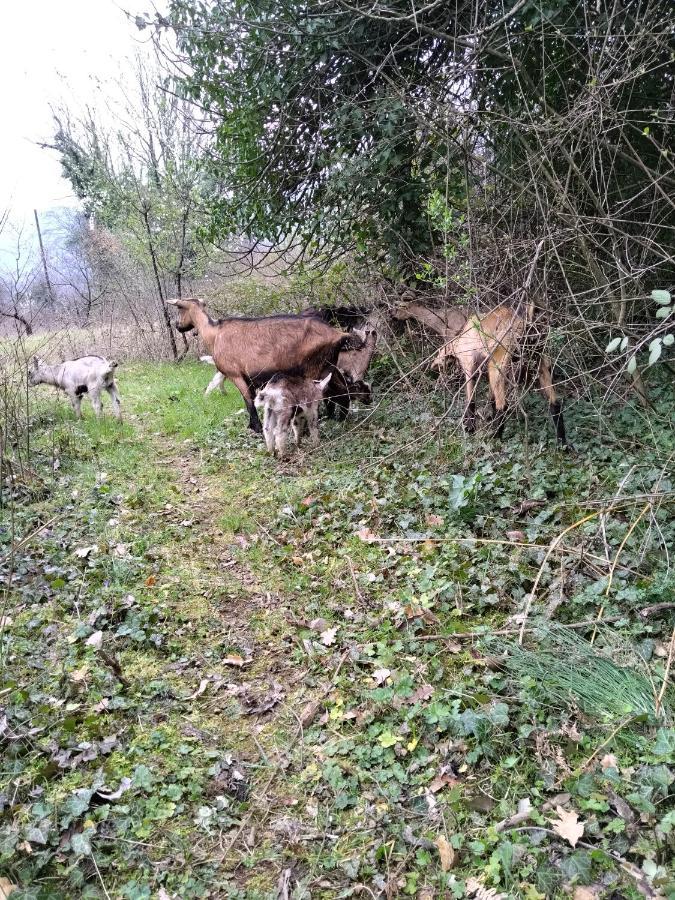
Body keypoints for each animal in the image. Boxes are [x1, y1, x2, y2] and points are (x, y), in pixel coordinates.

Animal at [168, 298, 360, 432]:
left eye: (179, 309)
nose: (178, 326)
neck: (214, 333)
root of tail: (338, 334)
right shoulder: (250, 378)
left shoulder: (236, 375)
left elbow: (248, 402)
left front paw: (256, 428)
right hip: (327, 367)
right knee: (342, 392)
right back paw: (337, 419)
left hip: (314, 370)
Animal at [430, 304, 568, 444]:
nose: (437, 376)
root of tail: (525, 321)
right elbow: (491, 399)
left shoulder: (471, 369)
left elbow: (470, 401)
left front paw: (469, 428)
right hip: (537, 366)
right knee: (555, 403)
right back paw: (562, 443)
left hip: (497, 367)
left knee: (503, 406)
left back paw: (496, 437)